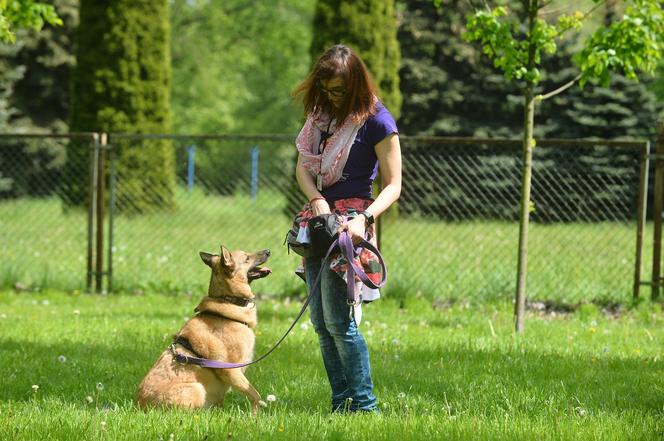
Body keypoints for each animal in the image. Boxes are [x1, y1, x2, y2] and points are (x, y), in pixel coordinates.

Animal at [136, 246, 272, 410]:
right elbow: (255, 395)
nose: (268, 251)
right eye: (247, 258)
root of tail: (139, 406)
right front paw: (255, 414)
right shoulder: (231, 370)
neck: (228, 300)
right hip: (197, 389)